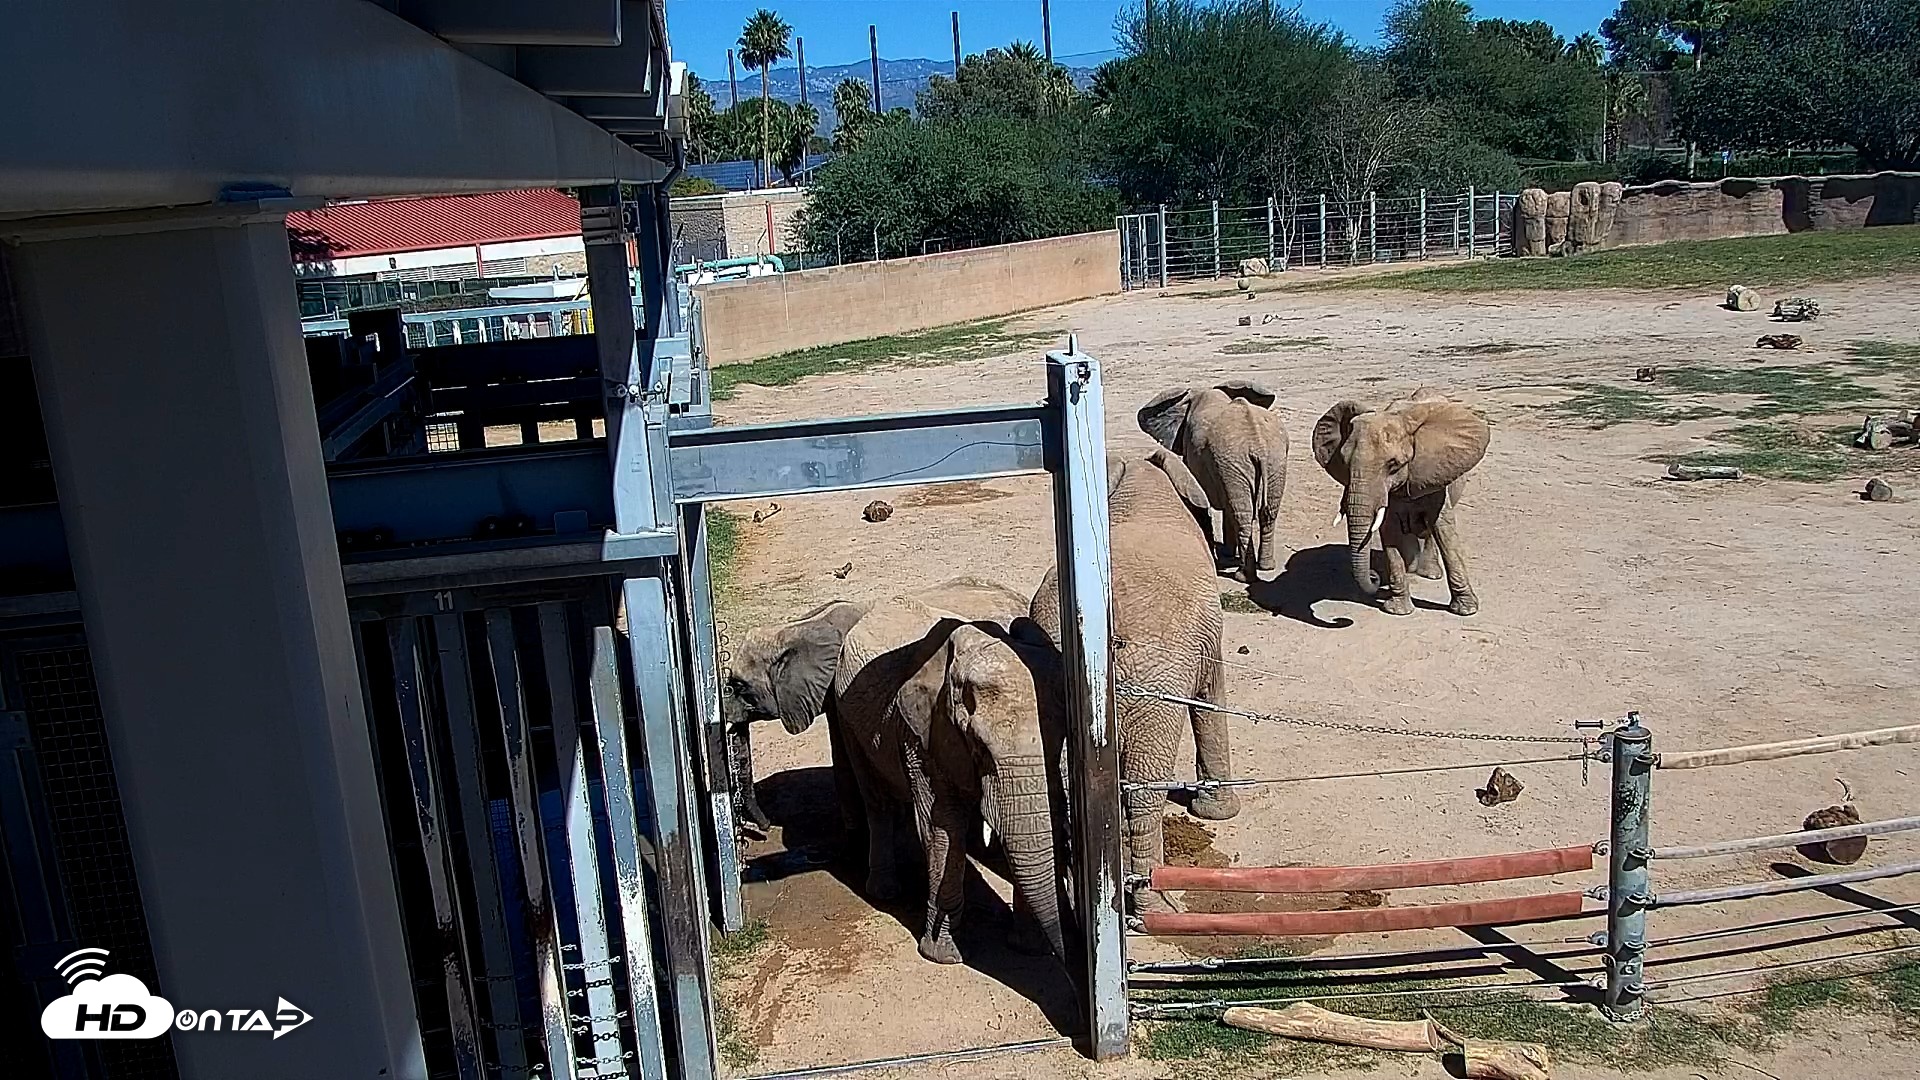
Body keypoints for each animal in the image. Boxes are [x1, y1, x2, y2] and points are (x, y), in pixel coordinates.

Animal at [725, 584, 1069, 965]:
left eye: (738, 688)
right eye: (979, 748)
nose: (759, 830)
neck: (801, 625)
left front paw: (1030, 948)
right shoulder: (921, 733)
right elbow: (940, 827)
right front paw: (942, 956)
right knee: (876, 797)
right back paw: (883, 890)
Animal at [1030, 450, 1235, 904]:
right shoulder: (1208, 638)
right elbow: (1210, 699)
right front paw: (1220, 814)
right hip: (1154, 682)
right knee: (1142, 789)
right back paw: (1153, 902)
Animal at [1137, 381, 1289, 582]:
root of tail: (1258, 447)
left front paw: (1226, 554)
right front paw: (1228, 553)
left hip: (1238, 462)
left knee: (1241, 515)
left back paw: (1242, 576)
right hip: (1273, 460)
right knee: (1267, 512)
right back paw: (1266, 566)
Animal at [1311, 389, 1490, 617]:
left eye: (1393, 464)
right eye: (1344, 462)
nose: (1374, 576)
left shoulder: (1433, 474)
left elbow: (1444, 530)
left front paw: (1466, 610)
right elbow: (1390, 533)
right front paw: (1397, 610)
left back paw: (1429, 573)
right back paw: (1412, 568)